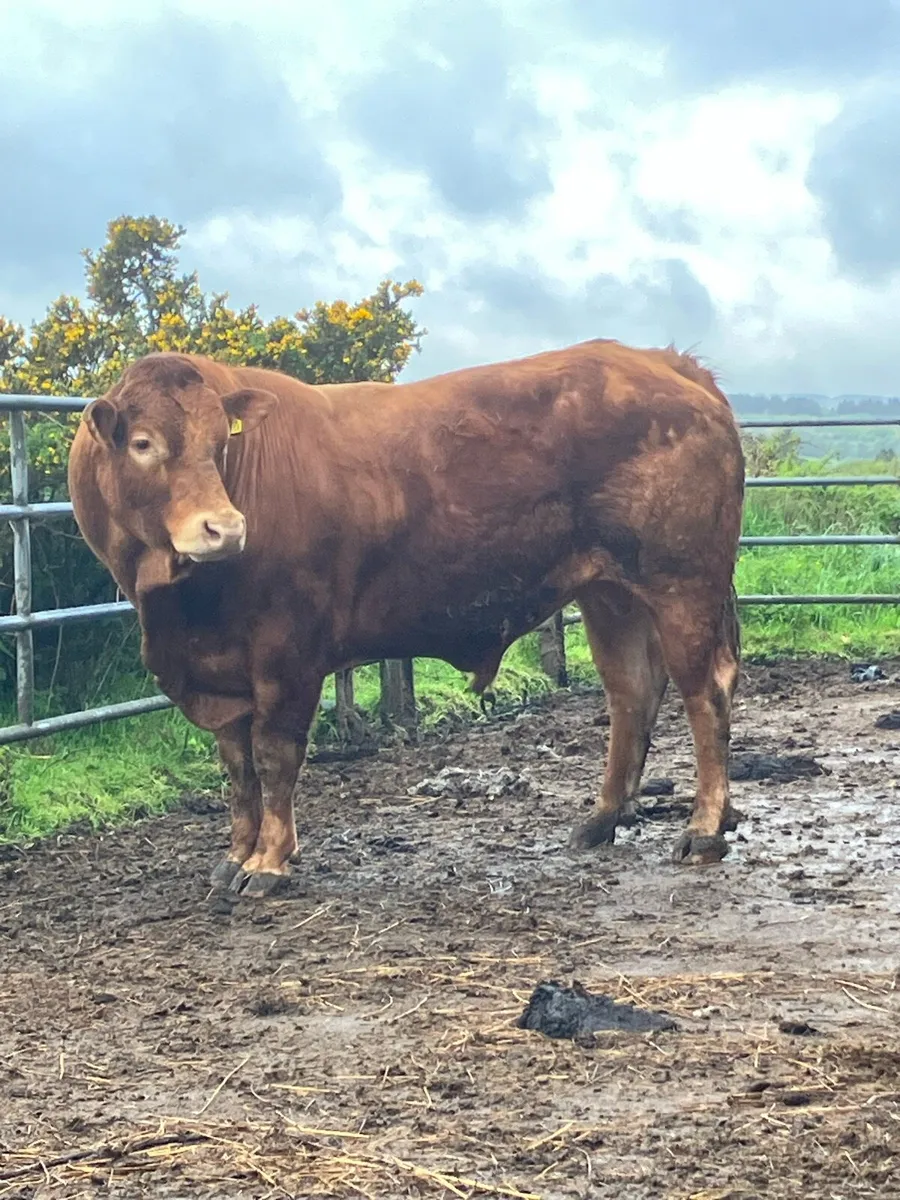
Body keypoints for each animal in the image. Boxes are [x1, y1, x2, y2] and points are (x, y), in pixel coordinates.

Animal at [67, 339, 745, 897]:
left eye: (220, 442)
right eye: (143, 444)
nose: (225, 528)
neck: (179, 608)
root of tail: (668, 363)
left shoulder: (288, 655)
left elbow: (275, 757)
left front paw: (269, 862)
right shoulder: (219, 672)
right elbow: (237, 770)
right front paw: (235, 856)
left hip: (683, 585)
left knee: (704, 694)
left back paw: (704, 829)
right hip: (611, 592)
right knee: (632, 692)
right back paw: (602, 819)